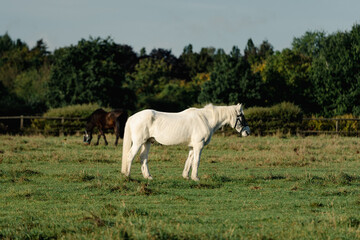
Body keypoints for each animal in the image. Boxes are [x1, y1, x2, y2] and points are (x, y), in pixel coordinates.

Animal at [121, 103, 250, 180]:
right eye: (241, 116)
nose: (247, 132)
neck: (205, 119)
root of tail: (132, 117)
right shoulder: (199, 145)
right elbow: (196, 161)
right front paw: (195, 178)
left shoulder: (193, 146)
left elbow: (189, 160)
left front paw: (186, 176)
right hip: (138, 142)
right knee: (130, 156)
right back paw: (128, 176)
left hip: (147, 142)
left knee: (143, 157)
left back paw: (148, 177)